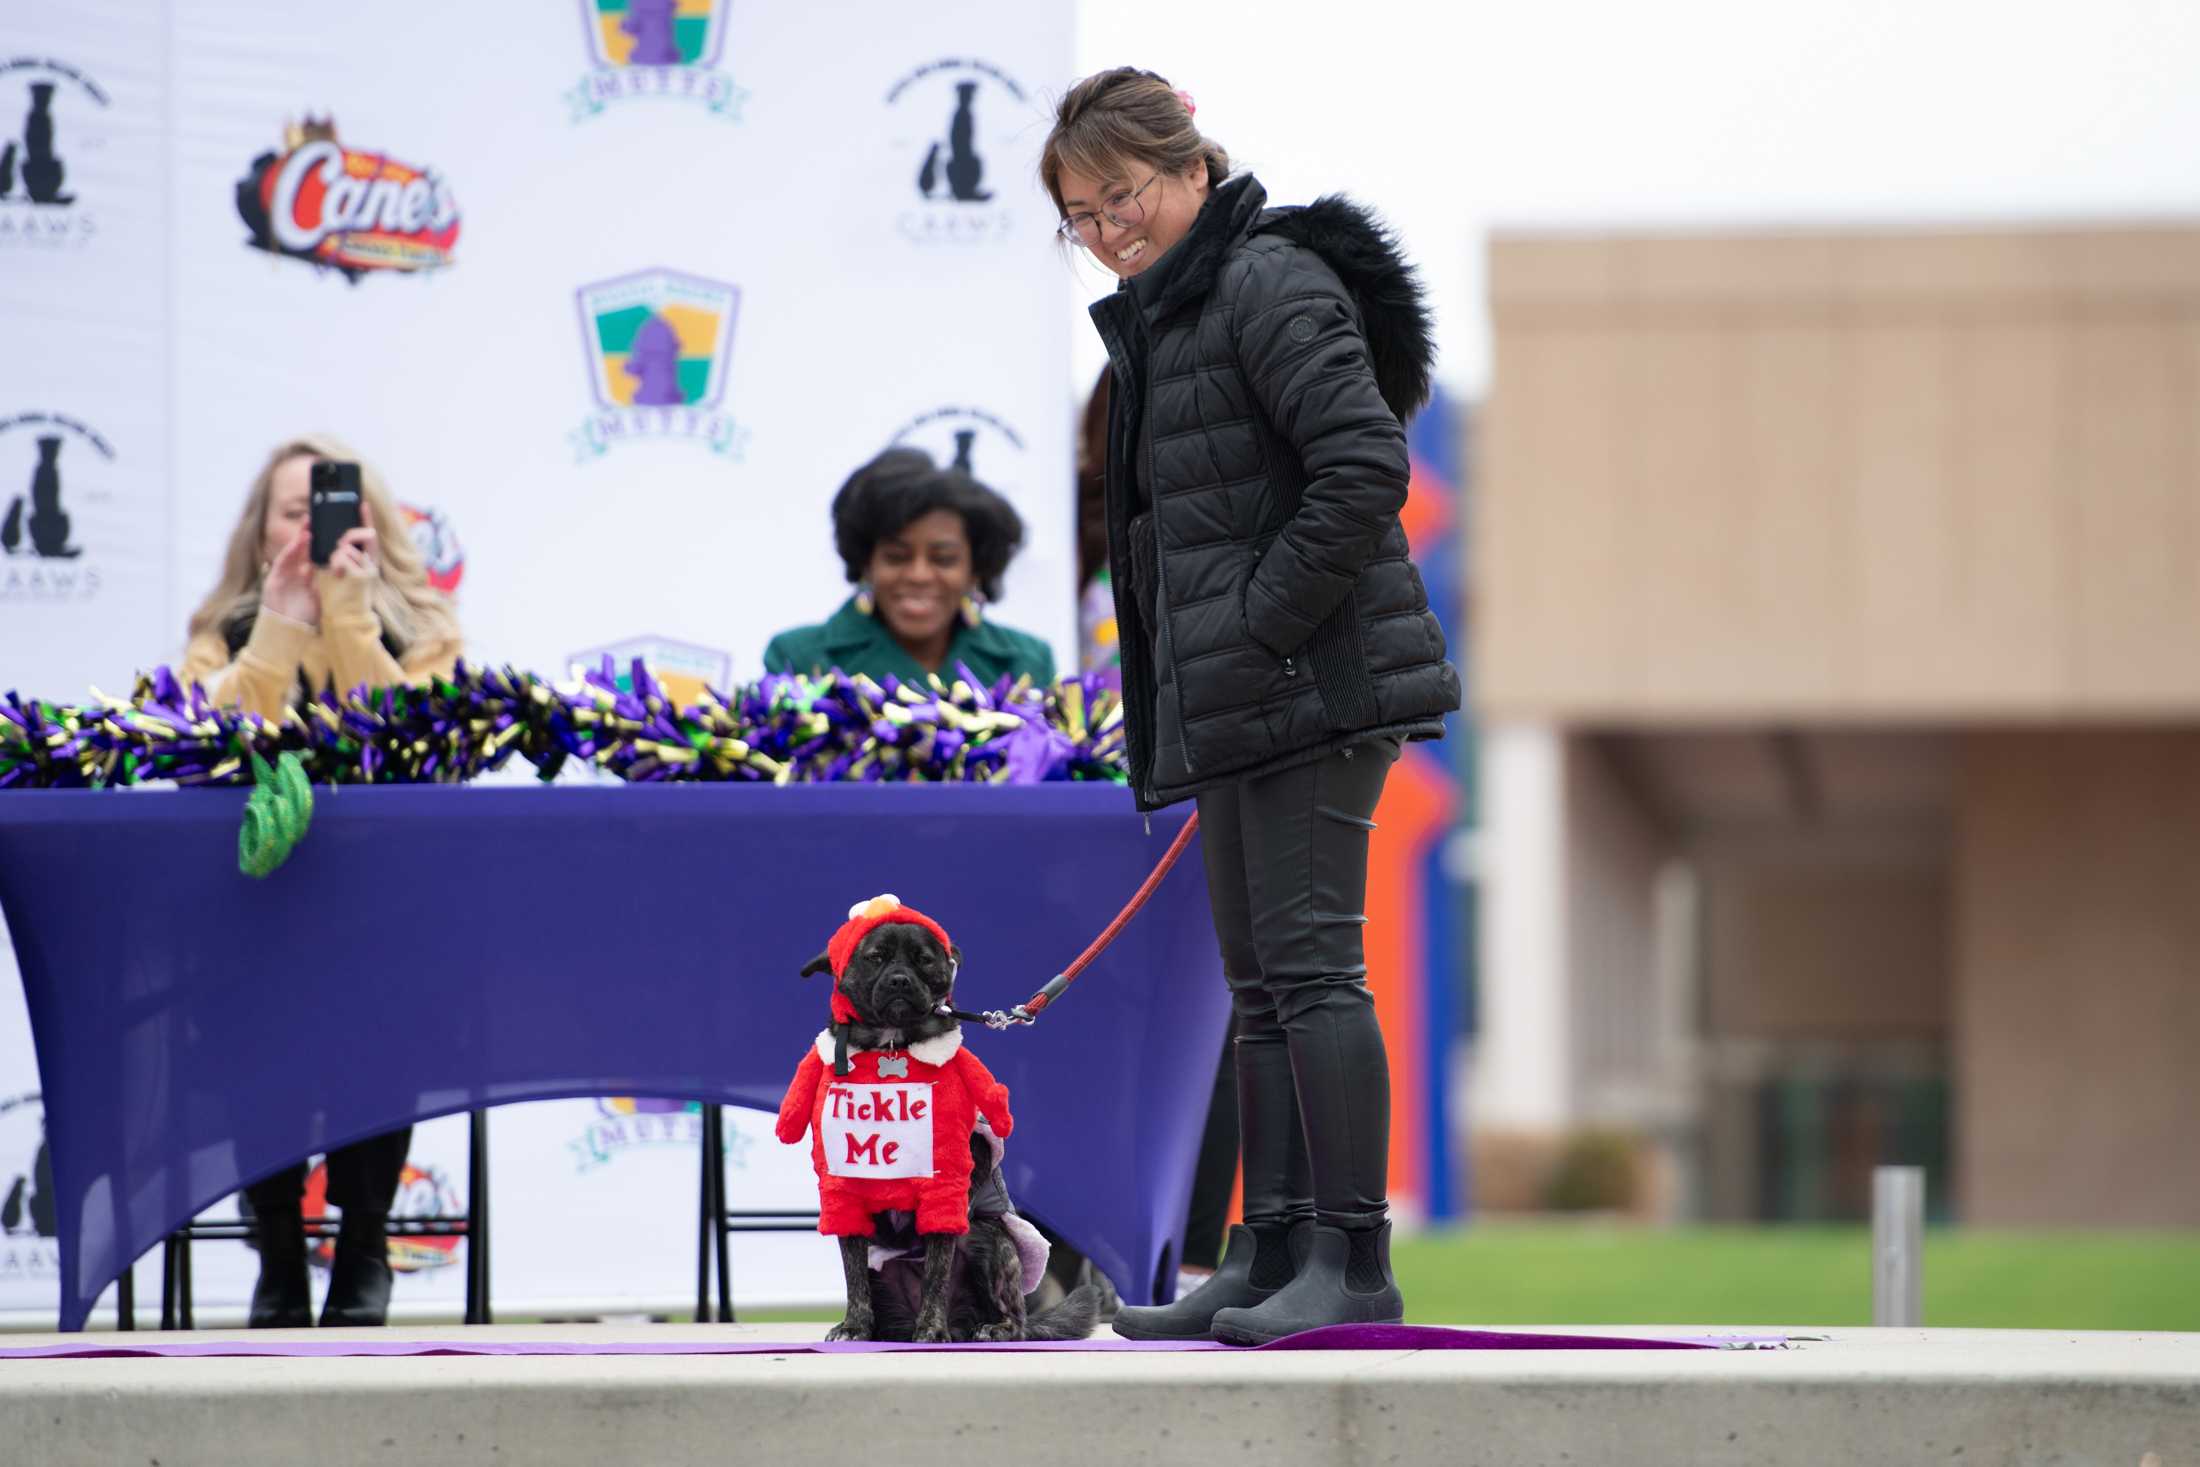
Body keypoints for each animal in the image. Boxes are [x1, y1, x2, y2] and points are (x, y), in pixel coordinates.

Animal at [805, 923, 1095, 1346]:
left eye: (924, 960)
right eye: (875, 957)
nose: (900, 980)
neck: (893, 1047)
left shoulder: (945, 1190)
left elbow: (935, 1275)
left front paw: (931, 1328)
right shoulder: (845, 1190)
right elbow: (853, 1275)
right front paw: (854, 1326)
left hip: (988, 1240)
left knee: (1016, 1320)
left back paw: (989, 1327)